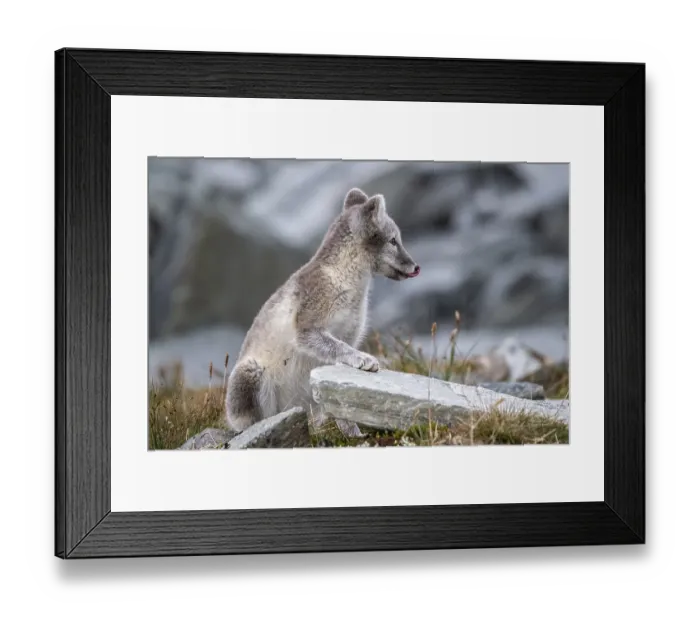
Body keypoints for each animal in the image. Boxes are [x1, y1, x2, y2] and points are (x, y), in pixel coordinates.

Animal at [225, 187, 420, 432]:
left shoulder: (349, 334)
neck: (346, 281)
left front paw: (351, 431)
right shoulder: (308, 328)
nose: (416, 267)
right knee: (255, 420)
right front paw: (364, 359)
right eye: (393, 241)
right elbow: (339, 348)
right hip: (250, 373)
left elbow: (341, 396)